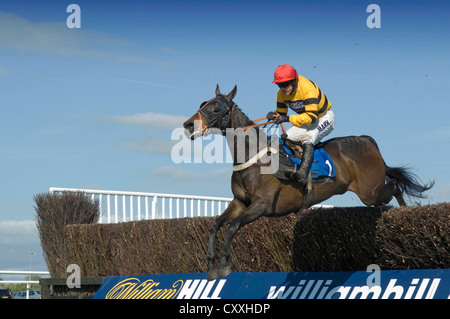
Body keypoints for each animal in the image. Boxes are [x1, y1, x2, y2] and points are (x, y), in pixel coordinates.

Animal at [182, 84, 432, 280]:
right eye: (203, 103)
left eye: (217, 106)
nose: (188, 125)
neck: (253, 156)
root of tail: (366, 140)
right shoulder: (240, 202)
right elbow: (215, 225)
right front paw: (211, 266)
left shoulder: (262, 205)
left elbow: (233, 226)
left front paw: (225, 265)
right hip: (371, 192)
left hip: (370, 190)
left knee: (394, 186)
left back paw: (405, 211)